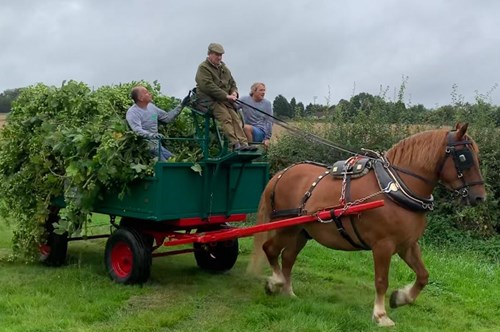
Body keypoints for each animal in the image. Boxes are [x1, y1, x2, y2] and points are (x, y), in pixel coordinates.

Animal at [248, 122, 486, 326]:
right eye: (464, 157)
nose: (479, 197)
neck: (394, 187)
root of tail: (281, 174)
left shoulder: (407, 244)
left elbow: (423, 276)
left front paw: (400, 298)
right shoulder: (383, 245)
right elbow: (381, 280)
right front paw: (381, 315)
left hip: (301, 231)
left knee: (288, 257)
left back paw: (288, 292)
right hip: (286, 226)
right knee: (270, 249)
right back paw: (275, 283)